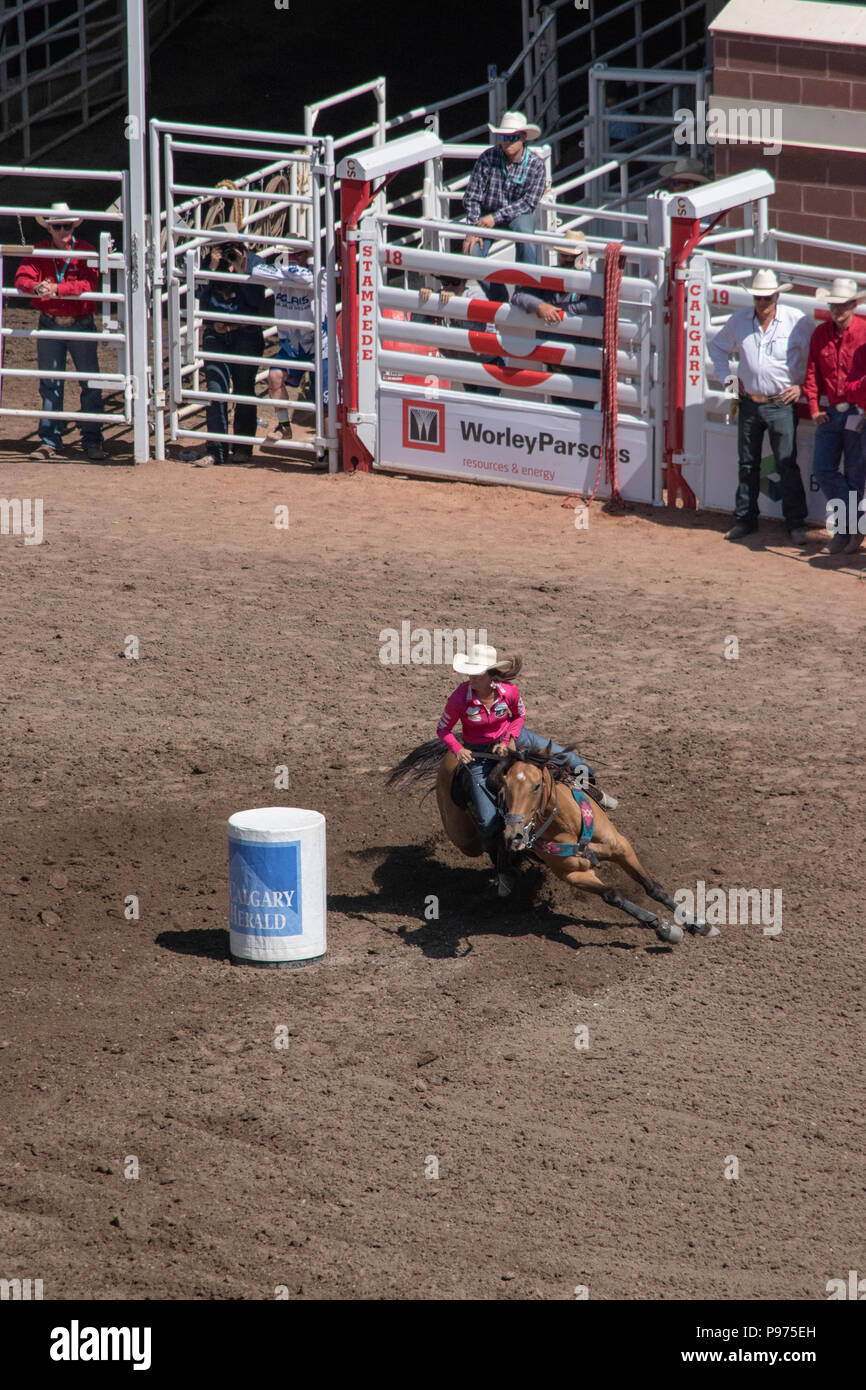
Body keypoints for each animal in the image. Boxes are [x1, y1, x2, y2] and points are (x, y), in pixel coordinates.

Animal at [389, 739, 722, 945]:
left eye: (537, 785)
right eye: (502, 789)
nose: (515, 835)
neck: (569, 825)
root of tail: (454, 752)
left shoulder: (621, 847)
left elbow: (653, 887)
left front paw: (698, 923)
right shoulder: (573, 874)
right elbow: (613, 895)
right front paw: (664, 928)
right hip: (464, 839)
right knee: (485, 847)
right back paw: (506, 873)